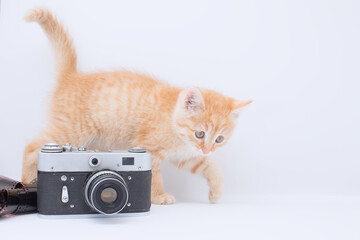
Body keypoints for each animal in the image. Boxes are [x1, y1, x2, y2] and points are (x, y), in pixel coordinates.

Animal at [21, 8, 250, 204]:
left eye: (219, 139)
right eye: (200, 134)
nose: (207, 149)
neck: (173, 123)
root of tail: (71, 77)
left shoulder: (186, 156)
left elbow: (208, 165)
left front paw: (216, 191)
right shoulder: (149, 148)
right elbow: (154, 175)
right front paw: (157, 196)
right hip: (72, 129)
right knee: (32, 147)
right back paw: (25, 182)